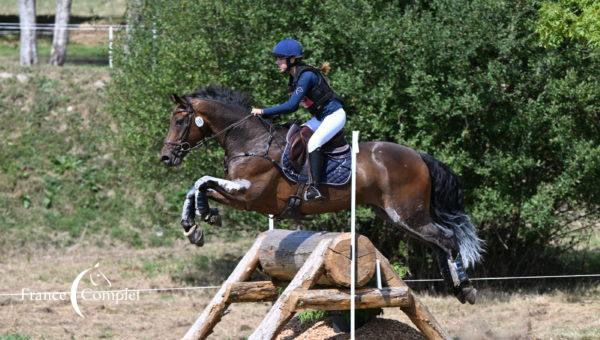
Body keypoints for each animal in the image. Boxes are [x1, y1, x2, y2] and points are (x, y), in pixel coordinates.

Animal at [158, 86, 482, 304]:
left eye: (179, 122)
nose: (165, 157)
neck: (251, 141)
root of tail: (418, 155)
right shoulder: (243, 195)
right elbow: (197, 186)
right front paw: (194, 226)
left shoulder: (250, 195)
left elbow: (202, 181)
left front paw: (203, 217)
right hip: (399, 217)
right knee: (439, 242)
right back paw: (454, 287)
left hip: (407, 214)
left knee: (446, 239)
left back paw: (465, 288)